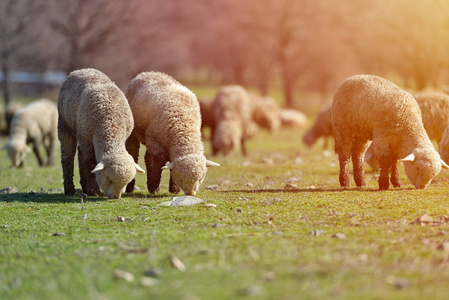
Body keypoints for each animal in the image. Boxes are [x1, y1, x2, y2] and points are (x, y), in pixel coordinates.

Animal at [56, 68, 144, 199]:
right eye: (108, 179)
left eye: (126, 182)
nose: (115, 196)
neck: (111, 125)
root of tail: (80, 70)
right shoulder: (86, 137)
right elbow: (90, 161)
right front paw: (94, 191)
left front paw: (91, 190)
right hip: (65, 124)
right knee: (67, 155)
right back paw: (69, 189)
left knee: (80, 155)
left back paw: (84, 187)